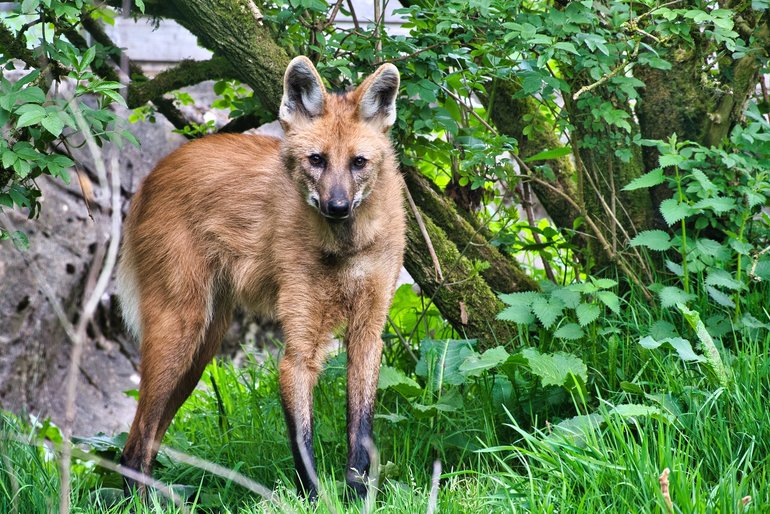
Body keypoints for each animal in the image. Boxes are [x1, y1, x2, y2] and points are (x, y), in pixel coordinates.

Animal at [117, 55, 404, 496]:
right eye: (317, 160)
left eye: (358, 162)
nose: (337, 206)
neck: (346, 246)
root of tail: (153, 173)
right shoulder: (298, 350)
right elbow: (303, 441)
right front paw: (316, 500)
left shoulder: (368, 332)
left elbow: (361, 430)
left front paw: (357, 496)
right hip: (181, 329)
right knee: (133, 447)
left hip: (202, 347)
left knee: (147, 443)